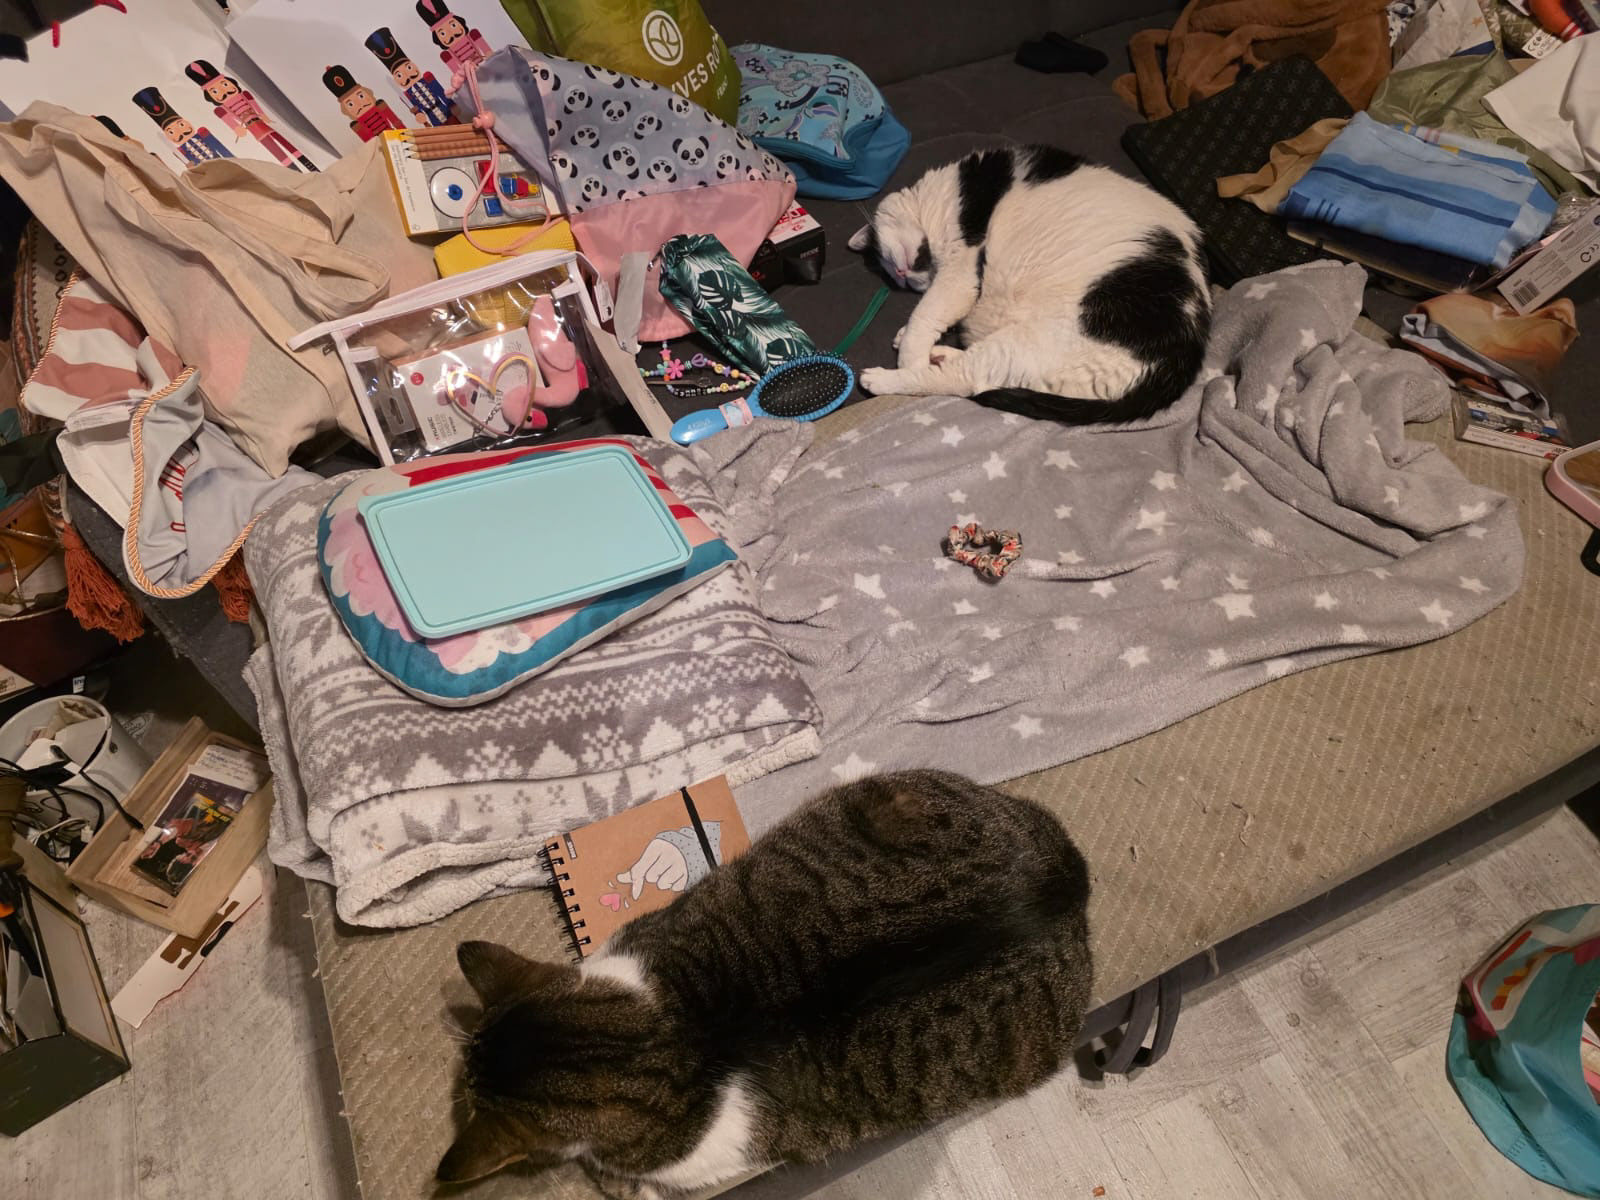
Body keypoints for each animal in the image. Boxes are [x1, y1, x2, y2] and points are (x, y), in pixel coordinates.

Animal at [850, 143, 1211, 425]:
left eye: (881, 255)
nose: (902, 277)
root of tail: (1180, 363)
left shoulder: (960, 270)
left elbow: (927, 312)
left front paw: (910, 354)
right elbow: (929, 316)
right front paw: (910, 340)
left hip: (1030, 341)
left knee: (967, 379)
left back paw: (884, 378)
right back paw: (937, 354)